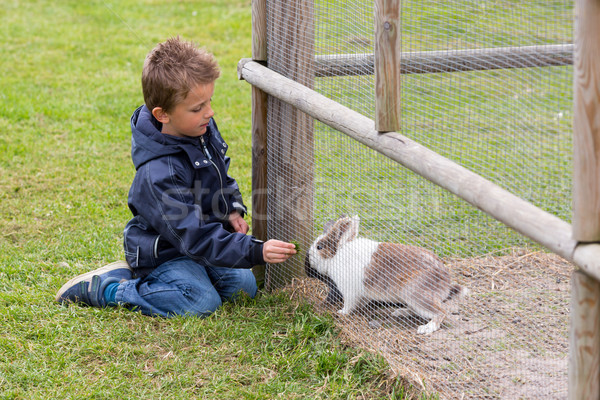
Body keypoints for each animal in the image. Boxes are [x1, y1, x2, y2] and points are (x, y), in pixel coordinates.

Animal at [308, 216, 466, 334]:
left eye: (319, 247)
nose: (309, 257)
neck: (336, 255)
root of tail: (446, 282)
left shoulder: (350, 292)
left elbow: (349, 305)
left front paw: (341, 312)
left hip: (415, 294)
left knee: (441, 312)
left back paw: (426, 328)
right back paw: (400, 312)